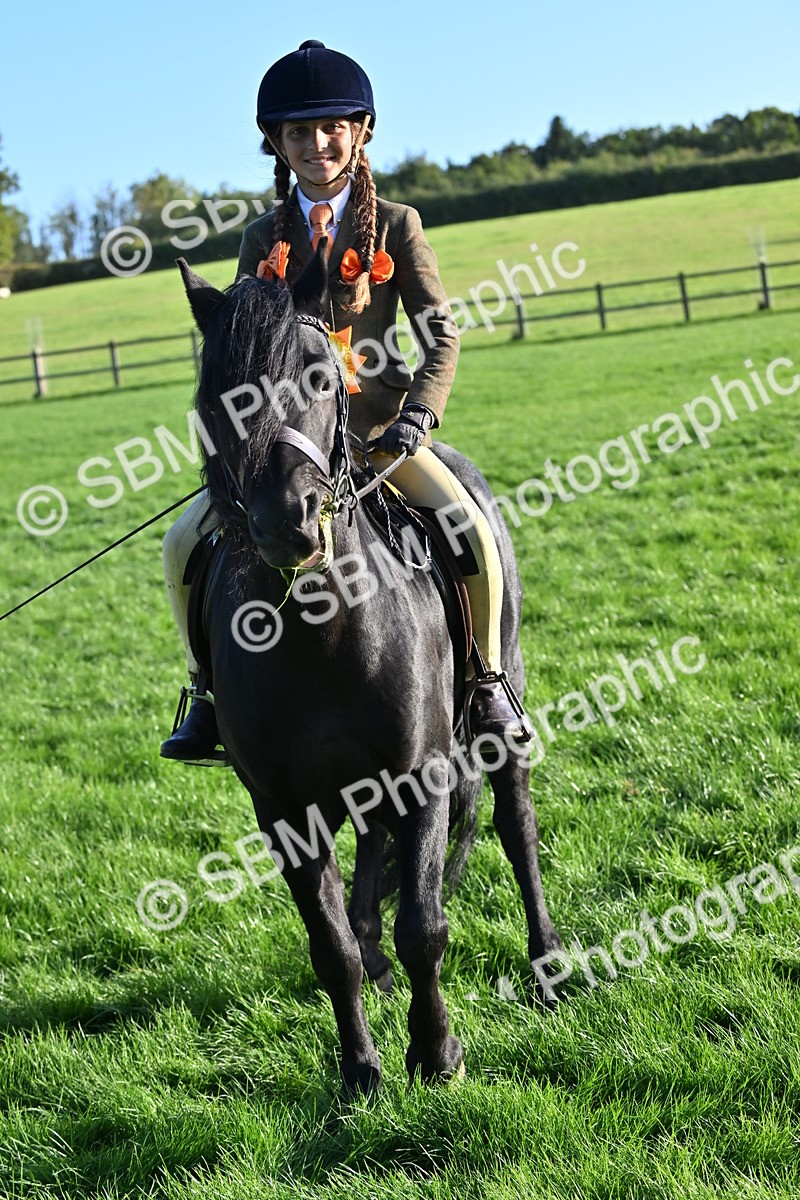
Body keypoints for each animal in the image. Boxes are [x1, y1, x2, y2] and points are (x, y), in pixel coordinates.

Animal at [176, 245, 562, 1093]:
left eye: (323, 375)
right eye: (217, 395)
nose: (287, 524)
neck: (319, 632)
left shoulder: (424, 774)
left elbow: (426, 925)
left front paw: (437, 1054)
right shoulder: (285, 811)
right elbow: (330, 949)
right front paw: (360, 1070)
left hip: (501, 708)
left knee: (516, 826)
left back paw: (550, 963)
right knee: (369, 853)